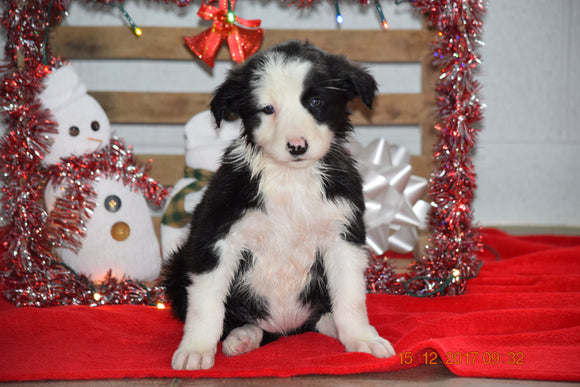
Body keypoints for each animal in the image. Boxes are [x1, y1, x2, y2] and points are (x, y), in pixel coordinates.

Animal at [164, 41, 398, 372]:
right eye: (268, 109)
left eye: (315, 101)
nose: (297, 146)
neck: (291, 178)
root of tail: (285, 327)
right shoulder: (216, 235)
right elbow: (206, 302)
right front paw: (195, 349)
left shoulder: (344, 236)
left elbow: (351, 298)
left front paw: (362, 338)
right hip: (177, 268)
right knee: (235, 318)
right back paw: (241, 337)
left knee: (318, 316)